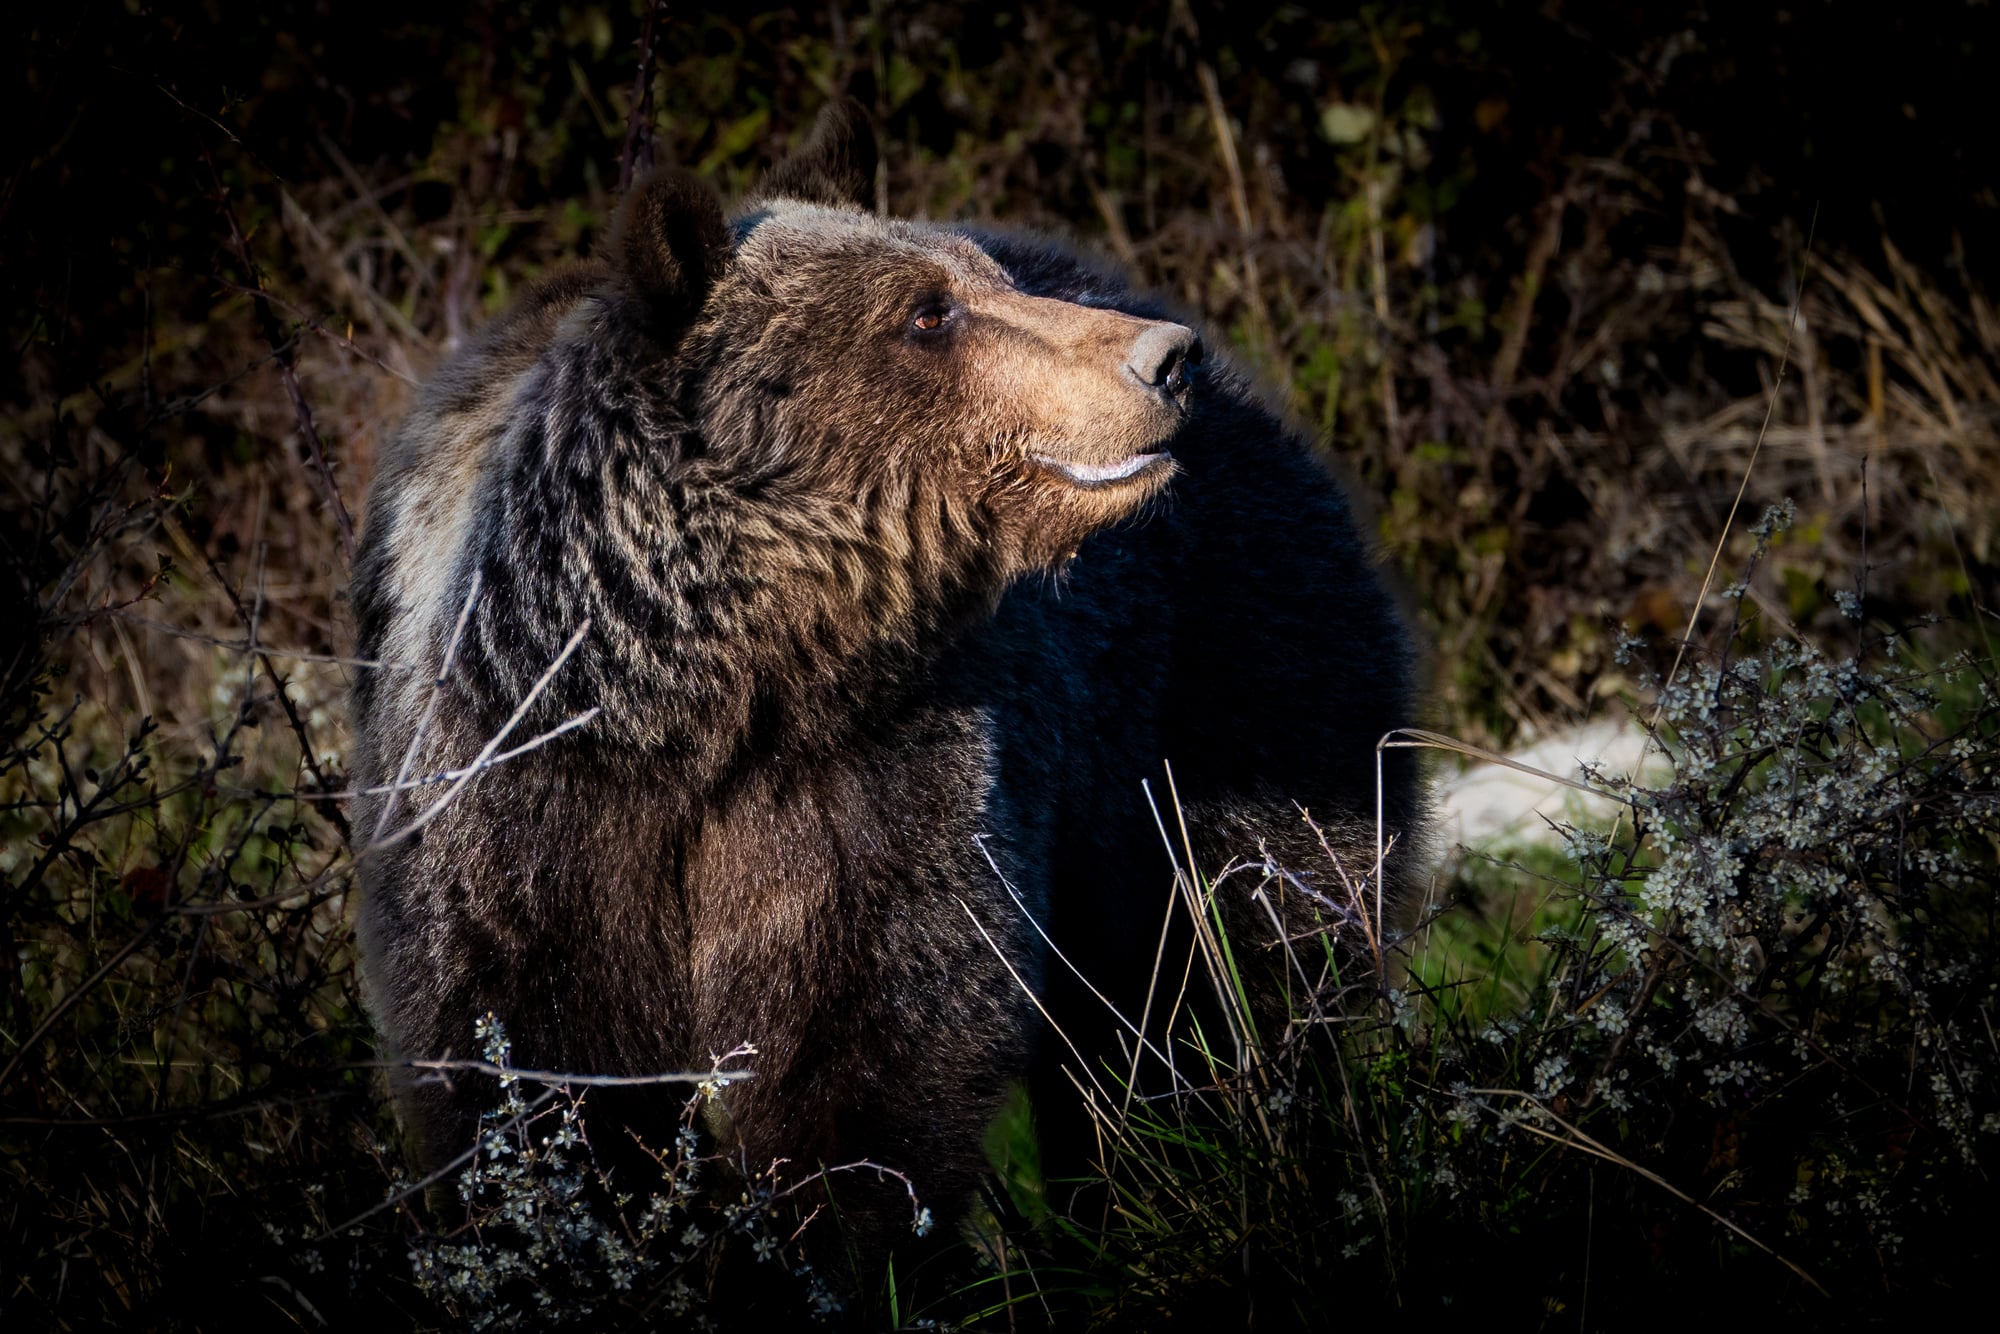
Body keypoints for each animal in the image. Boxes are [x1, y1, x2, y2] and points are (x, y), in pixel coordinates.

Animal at [347, 98, 1423, 1281]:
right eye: (927, 311)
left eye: (982, 278)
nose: (1163, 360)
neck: (717, 693)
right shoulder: (523, 797)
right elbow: (526, 1058)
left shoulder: (875, 778)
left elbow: (866, 1039)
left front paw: (837, 1251)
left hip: (1226, 684)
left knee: (1222, 969)